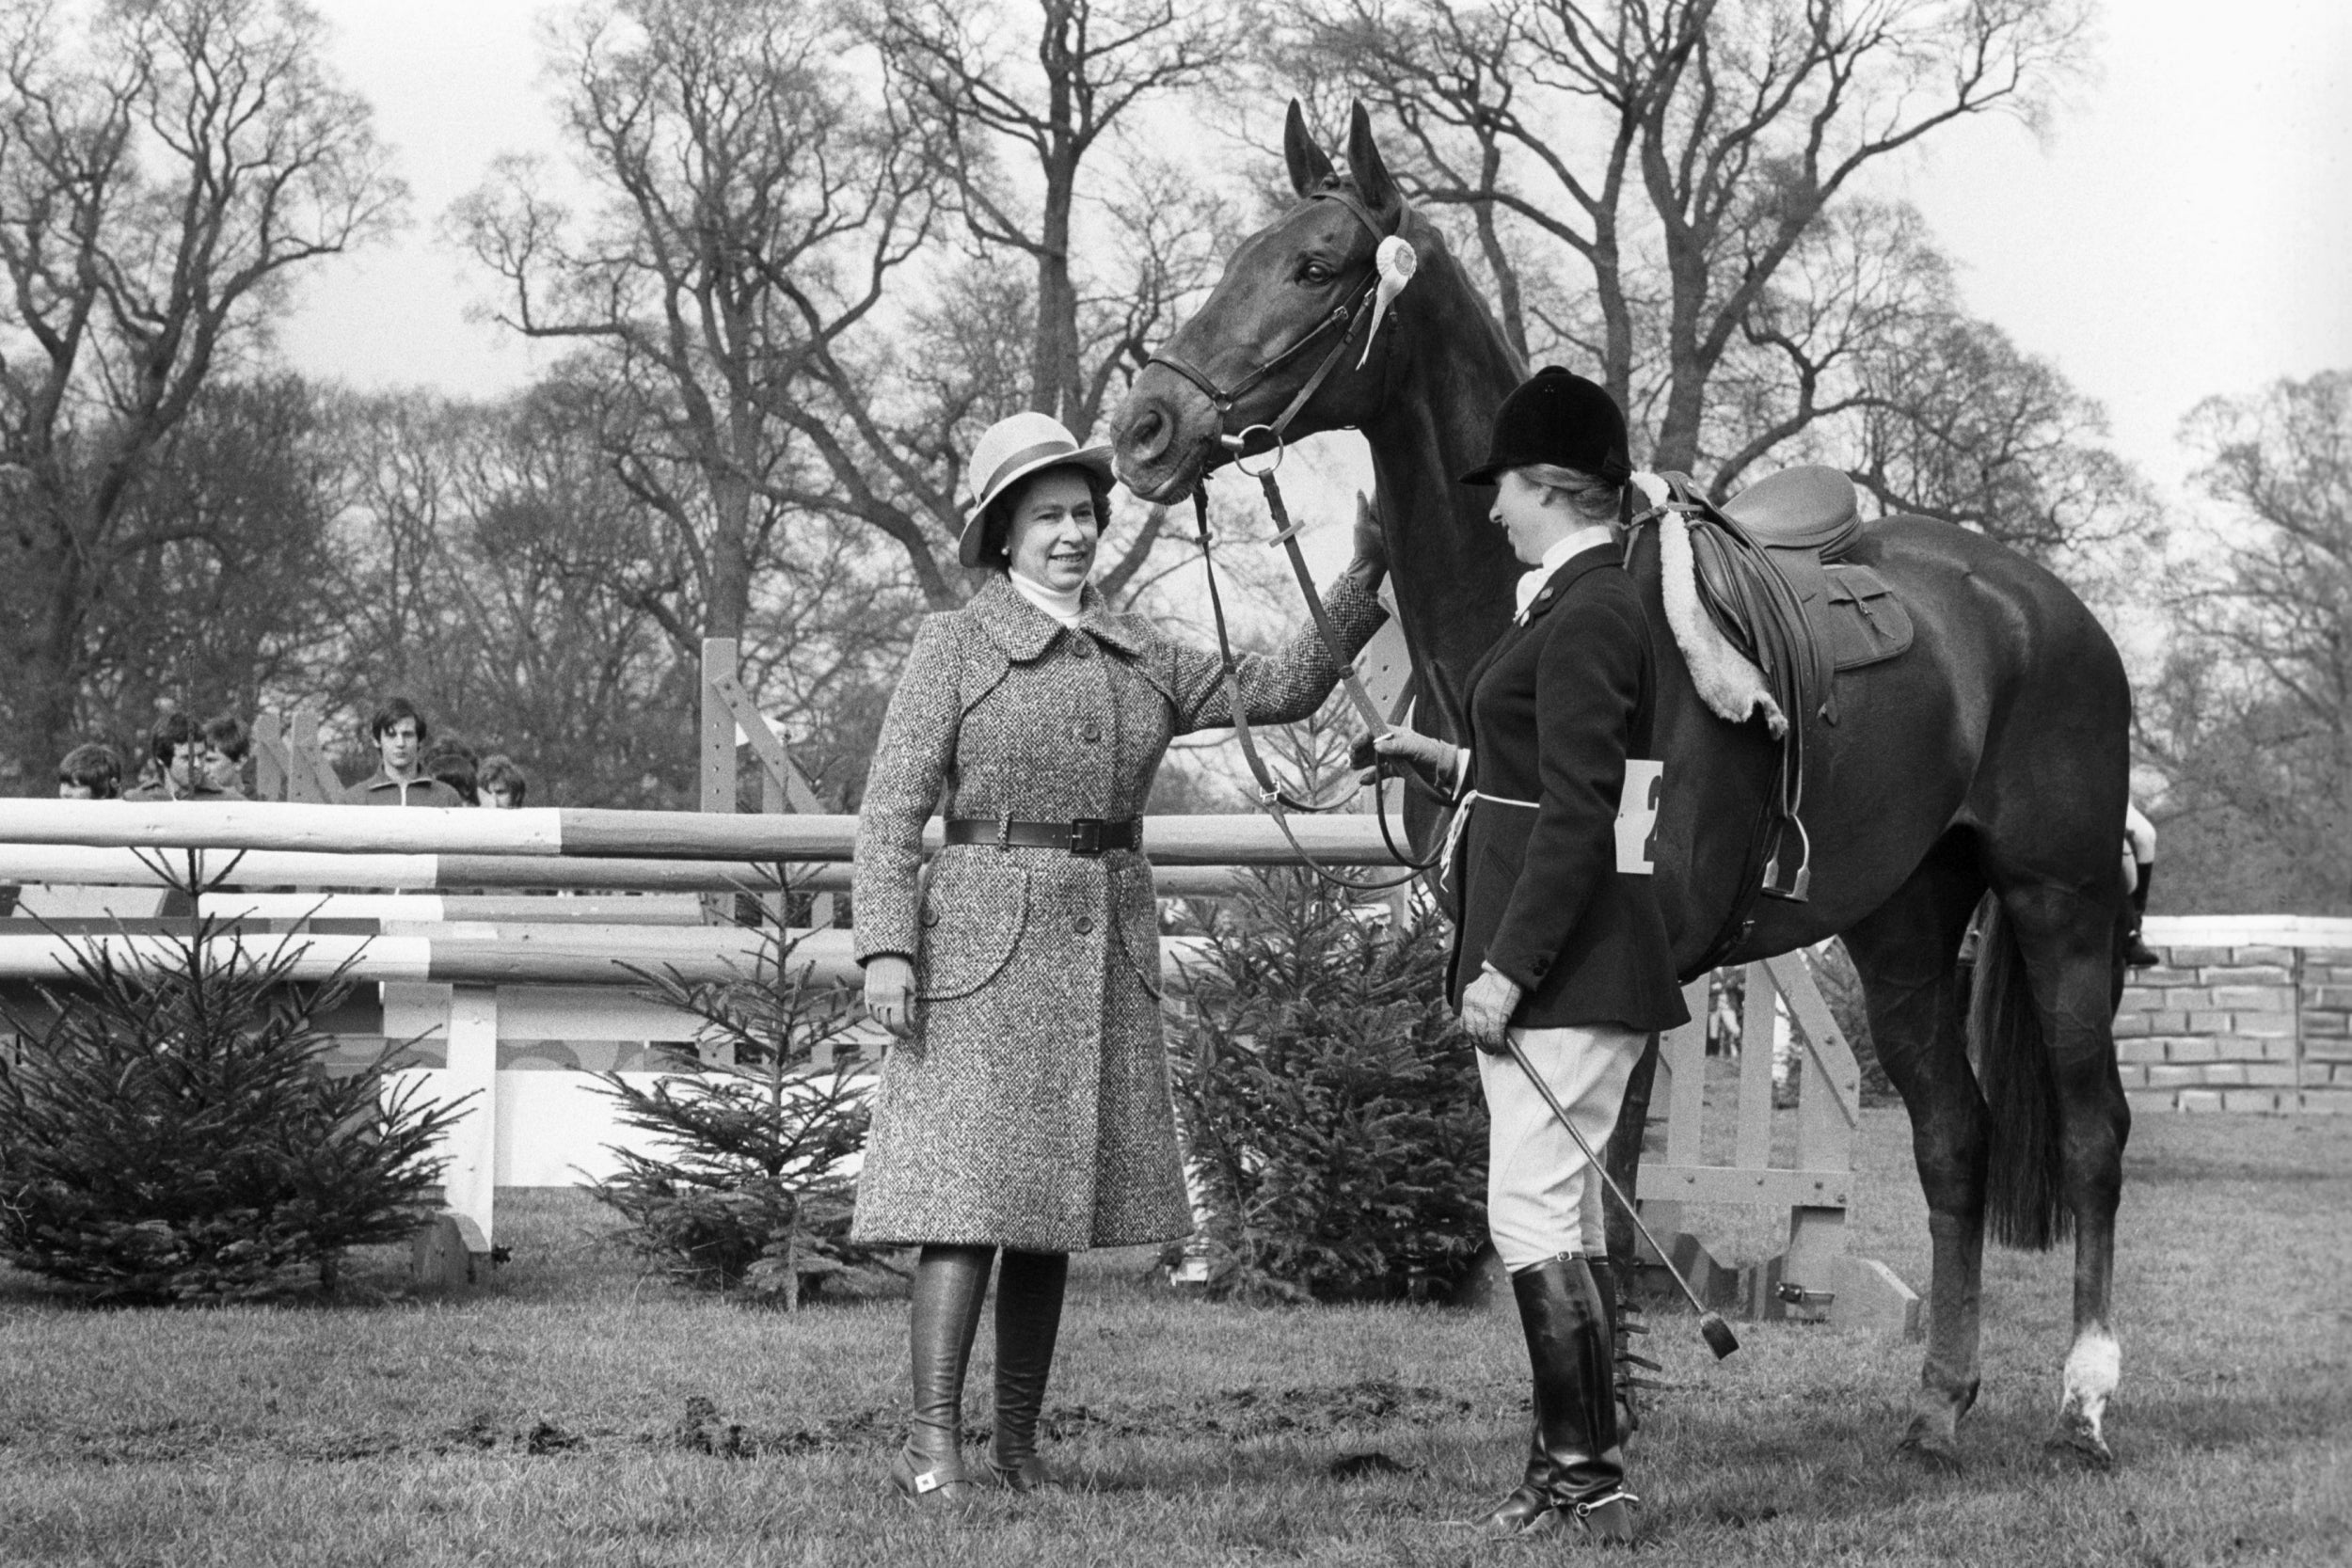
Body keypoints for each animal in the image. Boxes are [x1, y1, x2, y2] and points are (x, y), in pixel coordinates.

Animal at [1110, 103, 2145, 1466]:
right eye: (1242, 252)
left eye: (1319, 264)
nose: (1143, 429)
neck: (1525, 627)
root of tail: (2040, 604)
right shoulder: (1505, 966)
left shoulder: (1624, 963)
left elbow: (1597, 1215)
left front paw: (1601, 1429)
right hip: (1903, 922)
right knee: (1952, 1139)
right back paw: (1938, 1402)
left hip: (2058, 901)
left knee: (2091, 1134)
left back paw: (2084, 1393)